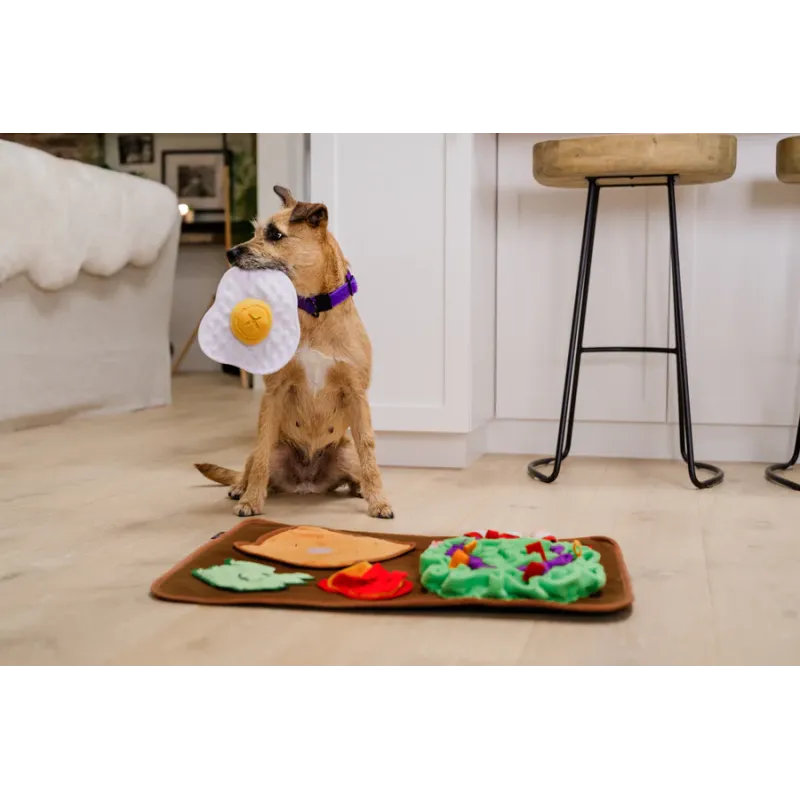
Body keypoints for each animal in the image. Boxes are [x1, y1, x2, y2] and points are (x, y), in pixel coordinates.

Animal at [194, 185, 394, 520]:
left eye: (275, 234)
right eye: (255, 231)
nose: (231, 253)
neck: (314, 311)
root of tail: (306, 485)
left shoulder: (356, 393)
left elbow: (369, 451)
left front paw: (378, 501)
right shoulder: (274, 392)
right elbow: (261, 454)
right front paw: (251, 500)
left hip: (345, 453)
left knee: (356, 472)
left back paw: (361, 489)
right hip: (273, 450)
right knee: (251, 464)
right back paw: (240, 488)